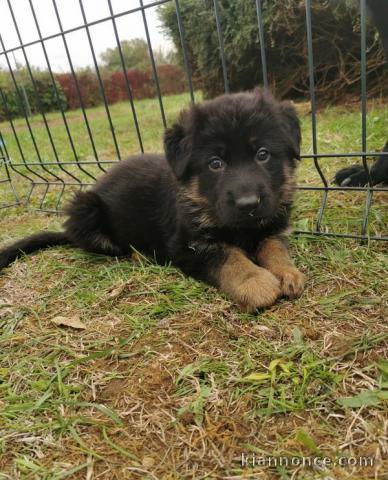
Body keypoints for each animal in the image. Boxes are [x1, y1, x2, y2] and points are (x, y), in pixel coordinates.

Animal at [0, 91, 304, 312]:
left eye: (263, 154)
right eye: (215, 163)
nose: (248, 204)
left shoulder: (272, 225)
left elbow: (274, 246)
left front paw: (286, 272)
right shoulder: (187, 245)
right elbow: (228, 256)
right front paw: (255, 282)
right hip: (85, 209)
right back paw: (140, 254)